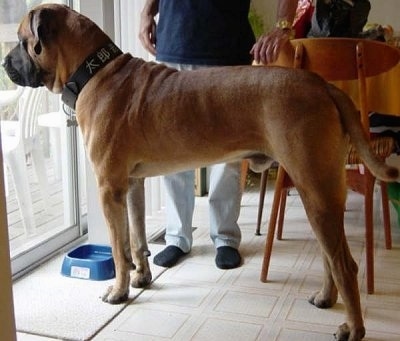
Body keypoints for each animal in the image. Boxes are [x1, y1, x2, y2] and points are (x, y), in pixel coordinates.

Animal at [3, 3, 396, 340]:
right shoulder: (132, 184)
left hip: (314, 186)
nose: (5, 63)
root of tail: (323, 85)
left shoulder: (108, 188)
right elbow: (137, 238)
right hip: (320, 190)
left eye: (22, 40)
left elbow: (117, 248)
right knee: (331, 257)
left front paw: (118, 290)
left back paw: (354, 329)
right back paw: (327, 298)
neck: (95, 71)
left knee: (345, 264)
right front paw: (142, 276)